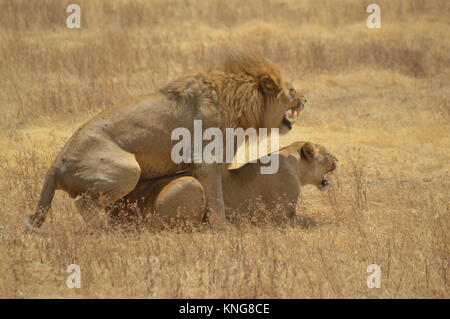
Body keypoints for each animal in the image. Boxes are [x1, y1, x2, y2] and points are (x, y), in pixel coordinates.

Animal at [24, 53, 306, 231]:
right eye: (292, 91)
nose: (306, 99)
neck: (240, 102)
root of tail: (56, 164)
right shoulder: (206, 162)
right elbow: (216, 200)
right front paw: (225, 228)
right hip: (128, 168)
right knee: (83, 203)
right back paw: (105, 232)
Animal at [110, 142, 340, 228]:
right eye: (327, 153)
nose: (338, 159)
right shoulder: (282, 217)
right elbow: (313, 221)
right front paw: (336, 224)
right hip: (190, 183)